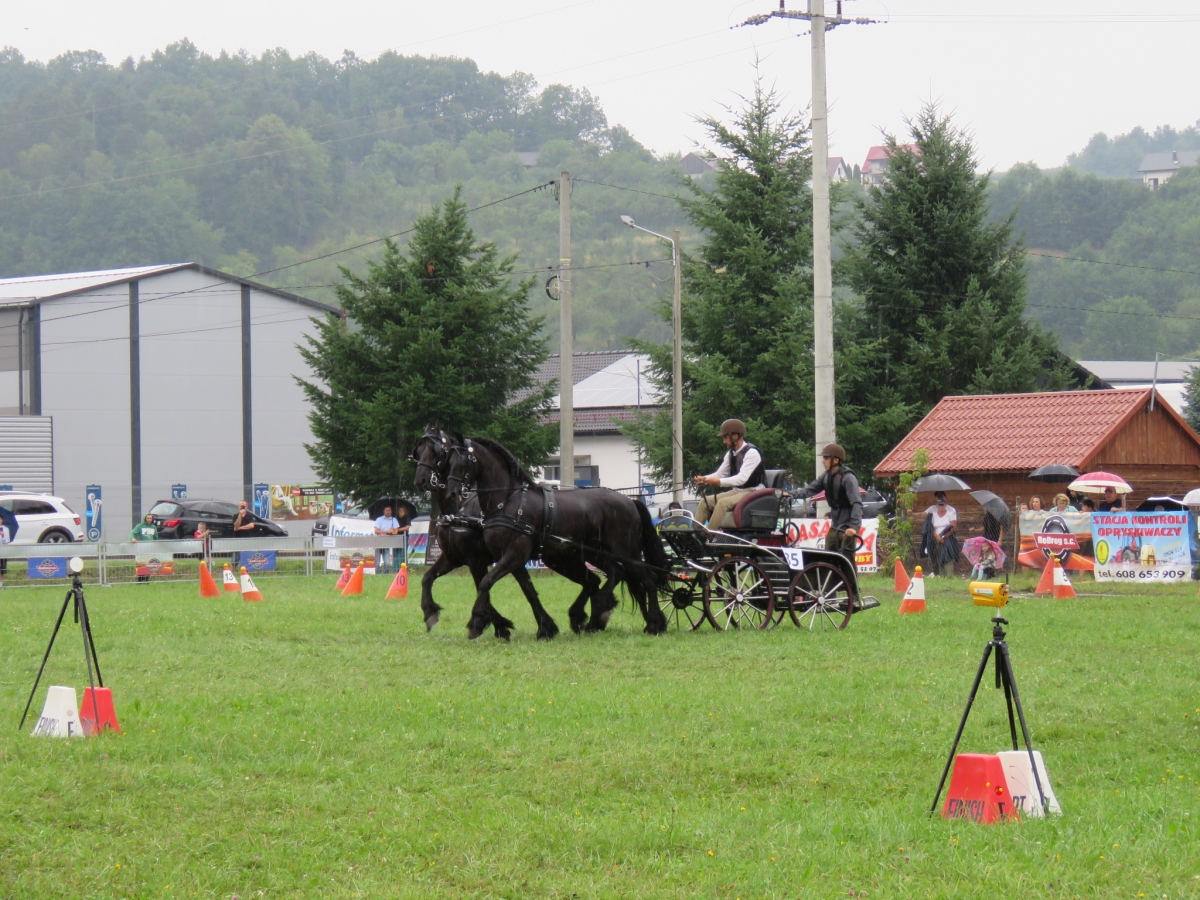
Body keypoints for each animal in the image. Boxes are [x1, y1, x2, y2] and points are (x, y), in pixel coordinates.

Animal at [410, 428, 599, 640]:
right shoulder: (453, 557)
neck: (458, 509)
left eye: (437, 451)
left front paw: (493, 624)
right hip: (562, 558)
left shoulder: (477, 560)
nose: (421, 480)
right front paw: (430, 612)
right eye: (418, 451)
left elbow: (484, 588)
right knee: (591, 580)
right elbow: (427, 578)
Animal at [445, 435, 670, 637]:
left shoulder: (514, 554)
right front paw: (545, 628)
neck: (509, 502)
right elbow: (527, 590)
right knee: (617, 573)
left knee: (647, 578)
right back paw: (596, 617)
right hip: (595, 553)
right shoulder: (511, 558)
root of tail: (630, 501)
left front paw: (476, 622)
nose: (451, 494)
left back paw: (654, 624)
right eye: (449, 461)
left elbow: (486, 582)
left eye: (462, 462)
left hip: (626, 551)